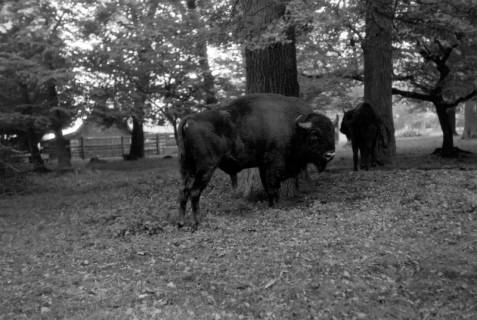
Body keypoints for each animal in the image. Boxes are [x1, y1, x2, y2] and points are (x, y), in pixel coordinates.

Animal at [176, 93, 334, 230]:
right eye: (314, 134)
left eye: (332, 132)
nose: (330, 154)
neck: (293, 127)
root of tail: (190, 119)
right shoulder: (273, 164)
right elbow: (273, 187)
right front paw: (277, 206)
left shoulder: (263, 166)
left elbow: (268, 187)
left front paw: (271, 205)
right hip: (206, 168)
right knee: (194, 192)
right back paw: (197, 223)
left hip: (187, 168)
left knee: (183, 191)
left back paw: (181, 223)